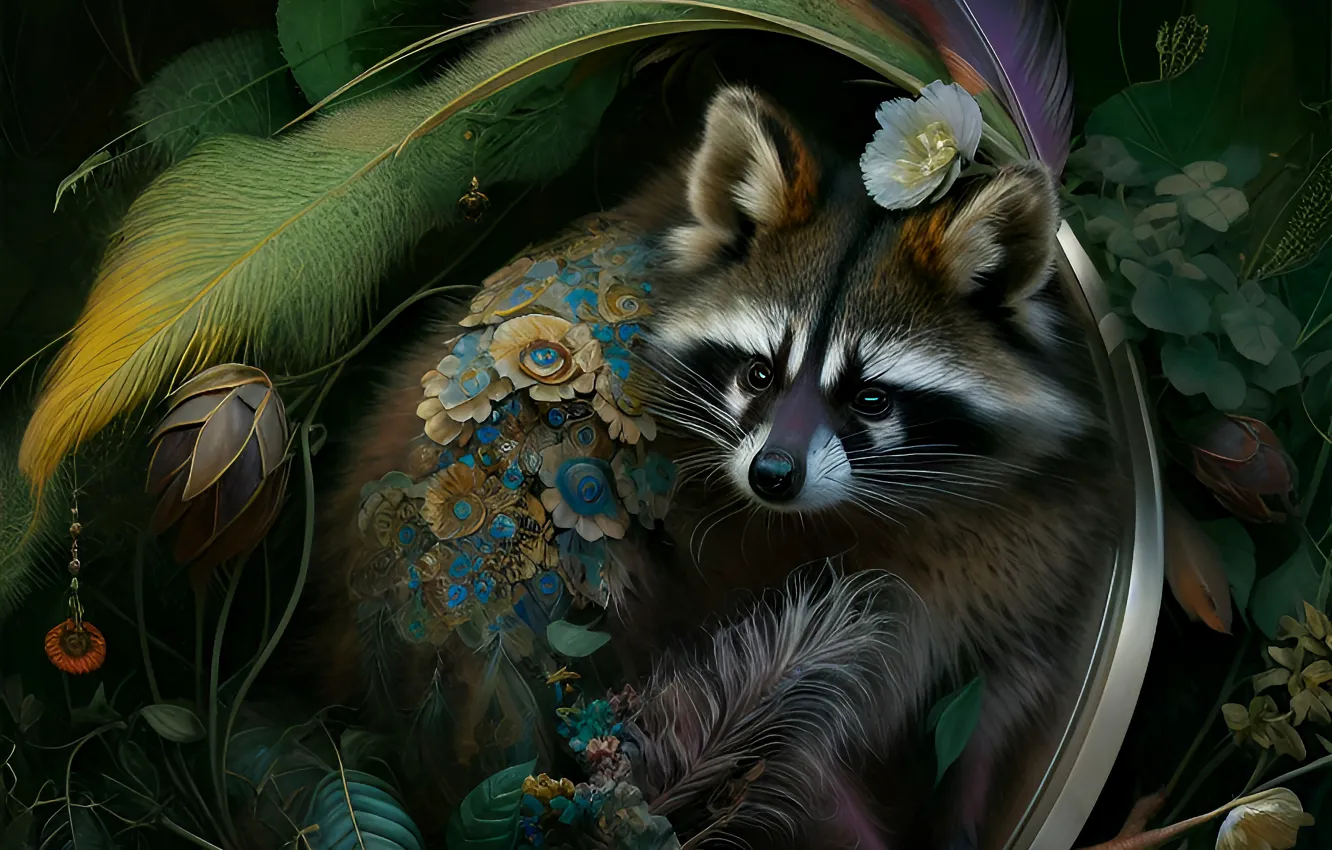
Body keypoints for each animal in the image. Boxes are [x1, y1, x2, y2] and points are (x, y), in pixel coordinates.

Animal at [308, 82, 1124, 850]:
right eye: (759, 374)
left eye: (871, 398)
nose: (772, 476)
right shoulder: (740, 592)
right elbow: (778, 745)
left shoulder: (1026, 563)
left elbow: (996, 703)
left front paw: (966, 813)